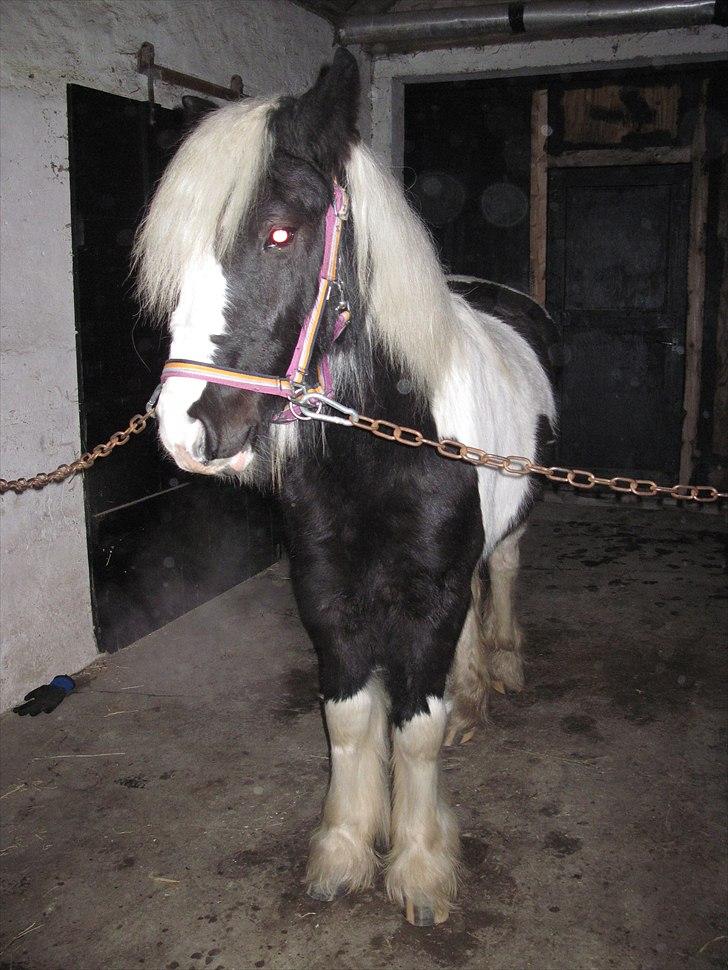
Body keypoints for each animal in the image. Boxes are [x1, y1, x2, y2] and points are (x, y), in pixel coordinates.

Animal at [134, 49, 556, 928]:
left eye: (279, 232)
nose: (188, 434)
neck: (387, 447)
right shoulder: (325, 588)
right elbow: (352, 721)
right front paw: (345, 849)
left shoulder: (428, 592)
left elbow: (414, 727)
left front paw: (421, 868)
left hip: (509, 529)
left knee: (500, 575)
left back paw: (499, 667)